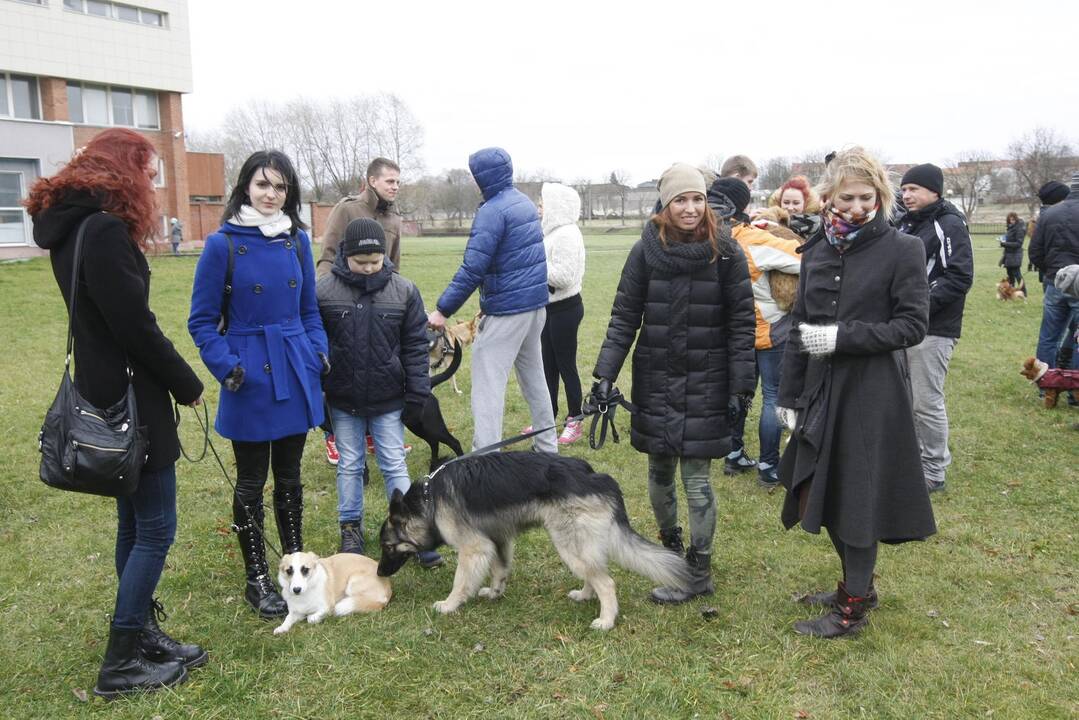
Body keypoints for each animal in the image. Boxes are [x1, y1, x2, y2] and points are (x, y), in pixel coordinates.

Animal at [377, 455, 690, 630]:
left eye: (388, 547)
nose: (379, 573)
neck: (428, 499)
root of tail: (598, 477)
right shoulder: (498, 540)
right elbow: (499, 570)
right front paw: (494, 593)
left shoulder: (474, 549)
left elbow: (461, 582)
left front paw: (449, 605)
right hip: (577, 548)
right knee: (595, 574)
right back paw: (585, 595)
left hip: (568, 545)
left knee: (607, 582)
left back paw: (606, 621)